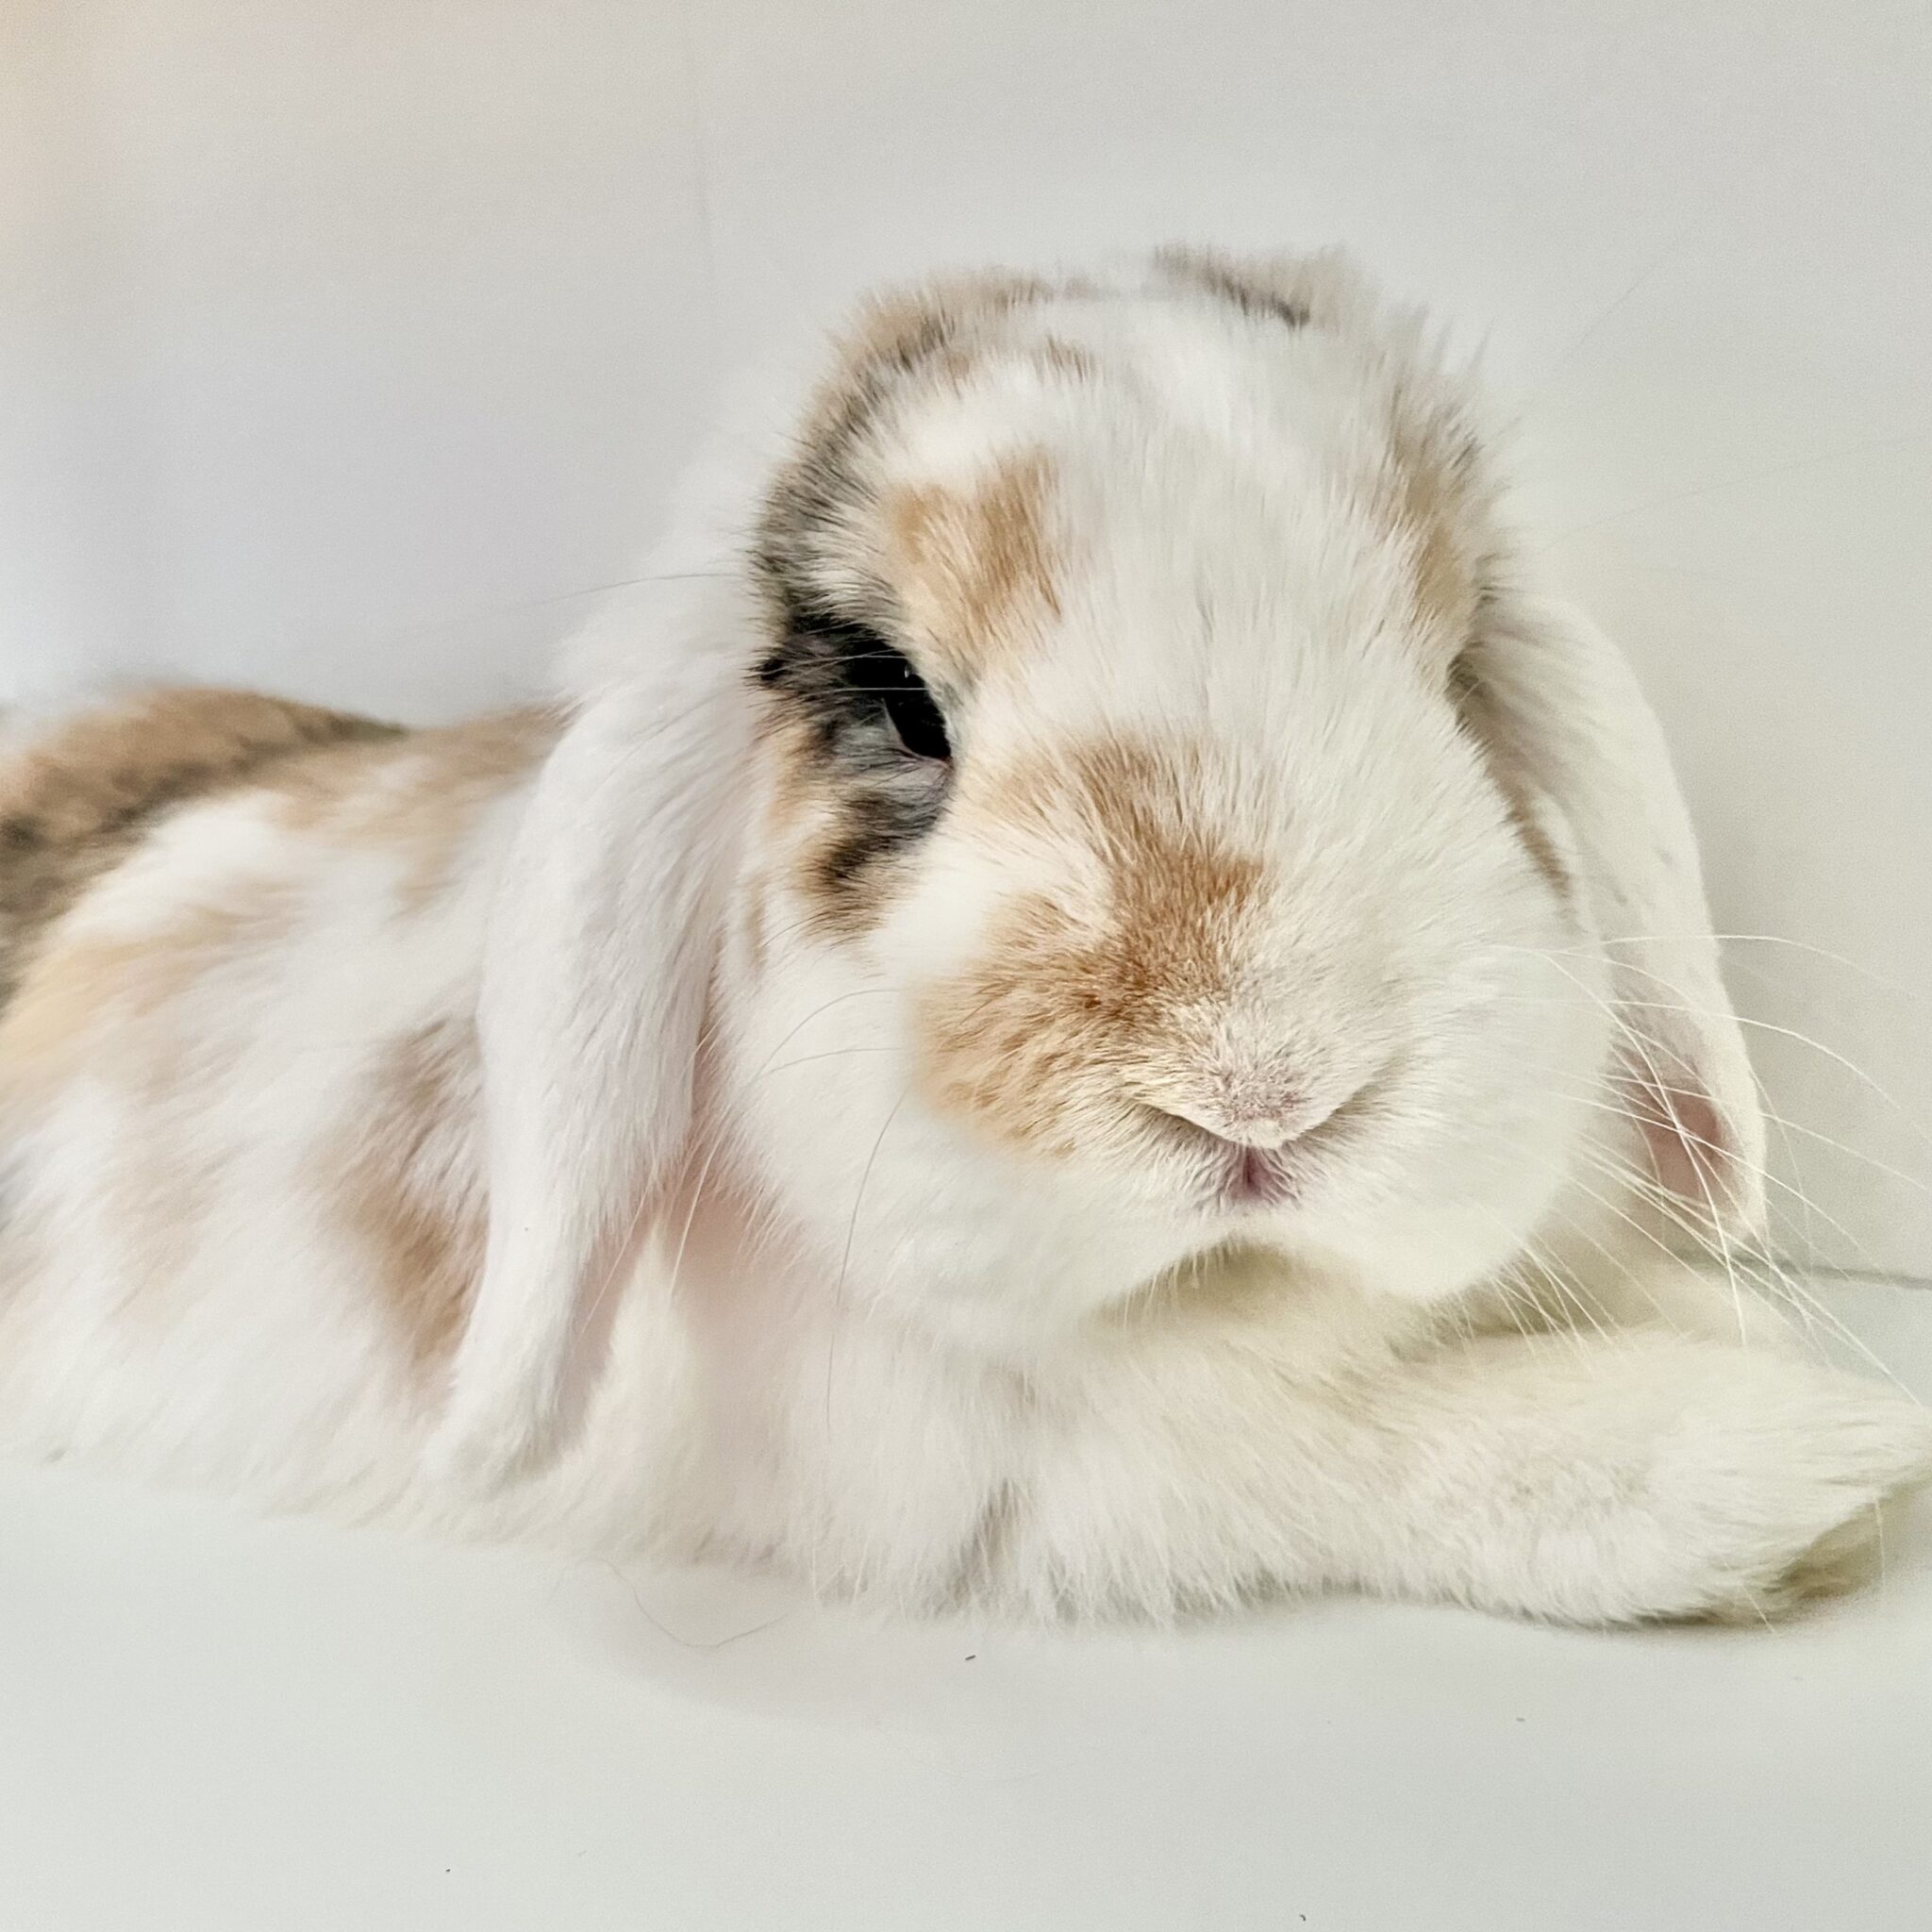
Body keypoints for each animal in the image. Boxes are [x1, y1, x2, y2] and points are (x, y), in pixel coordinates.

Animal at [1, 246, 1926, 1626]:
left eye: (1457, 677)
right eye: (904, 710)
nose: (1263, 1091)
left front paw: (1738, 1328)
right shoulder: (1028, 1483)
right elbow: (1327, 1442)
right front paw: (1812, 1459)